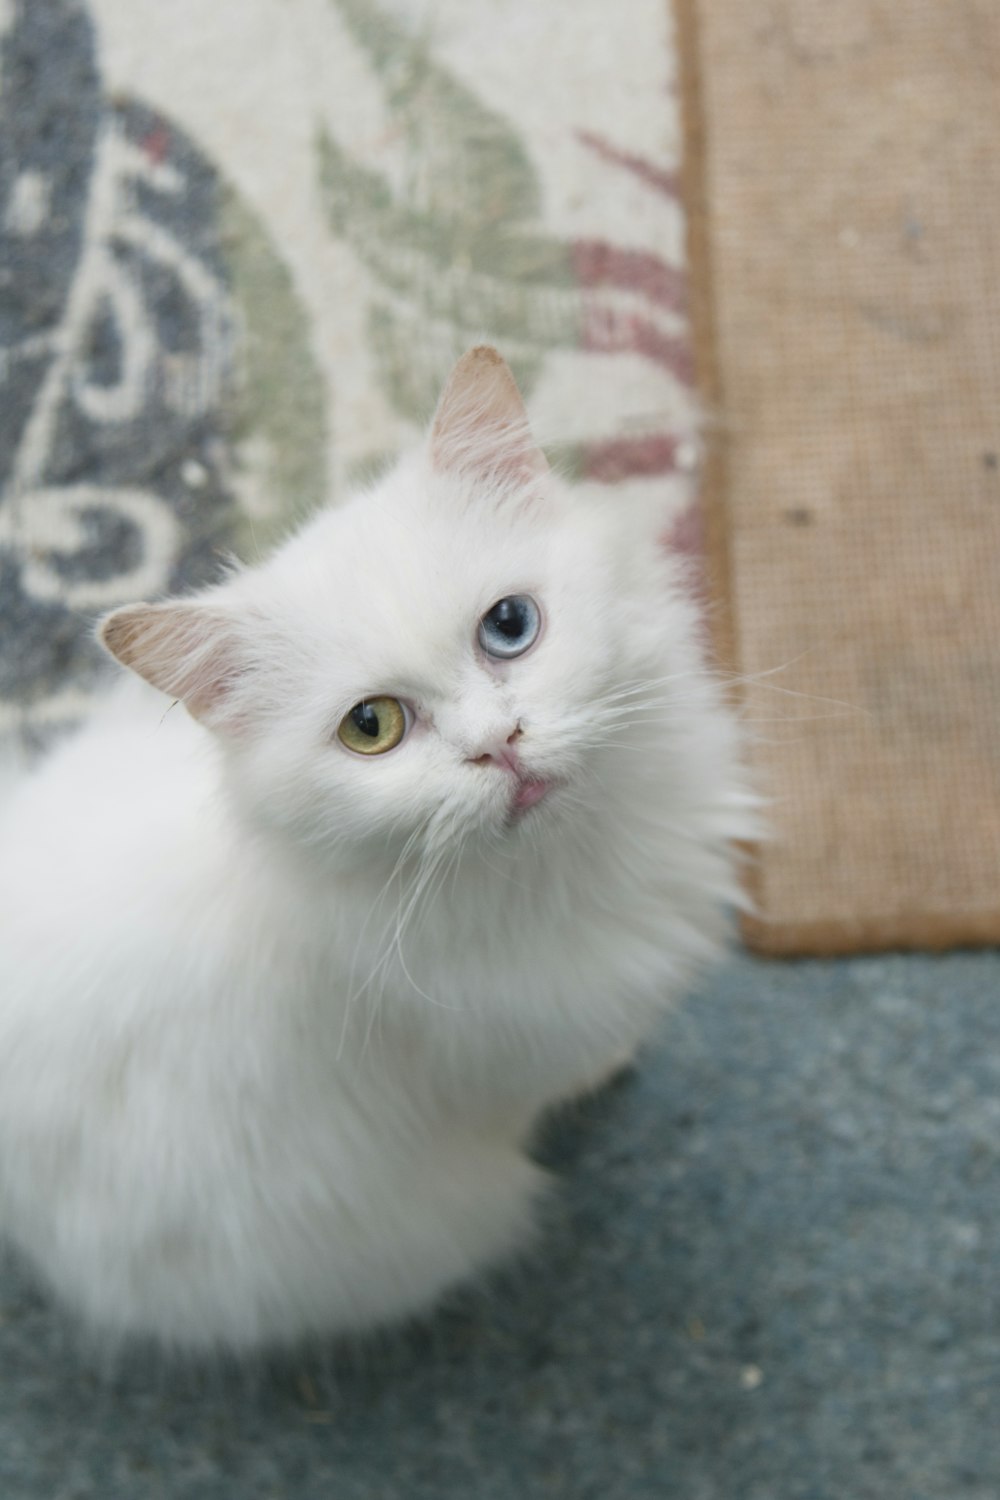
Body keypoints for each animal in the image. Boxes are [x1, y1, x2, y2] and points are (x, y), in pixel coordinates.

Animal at [0, 345, 749, 1356]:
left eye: (509, 626)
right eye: (371, 728)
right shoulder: (508, 1069)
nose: (498, 744)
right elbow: (572, 1073)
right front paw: (616, 1067)